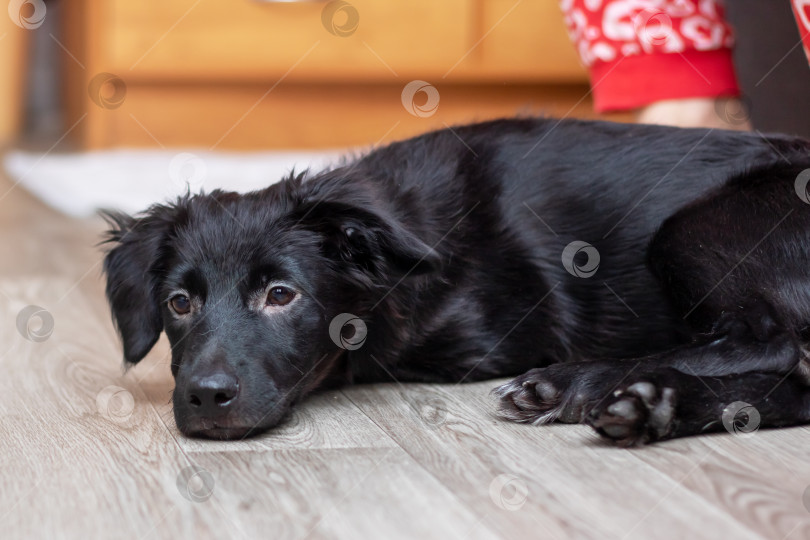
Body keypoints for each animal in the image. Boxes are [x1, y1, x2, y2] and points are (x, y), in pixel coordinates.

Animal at [104, 117, 808, 442]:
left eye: (281, 294)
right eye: (178, 302)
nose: (205, 397)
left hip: (694, 226)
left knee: (775, 342)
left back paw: (575, 385)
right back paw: (650, 406)